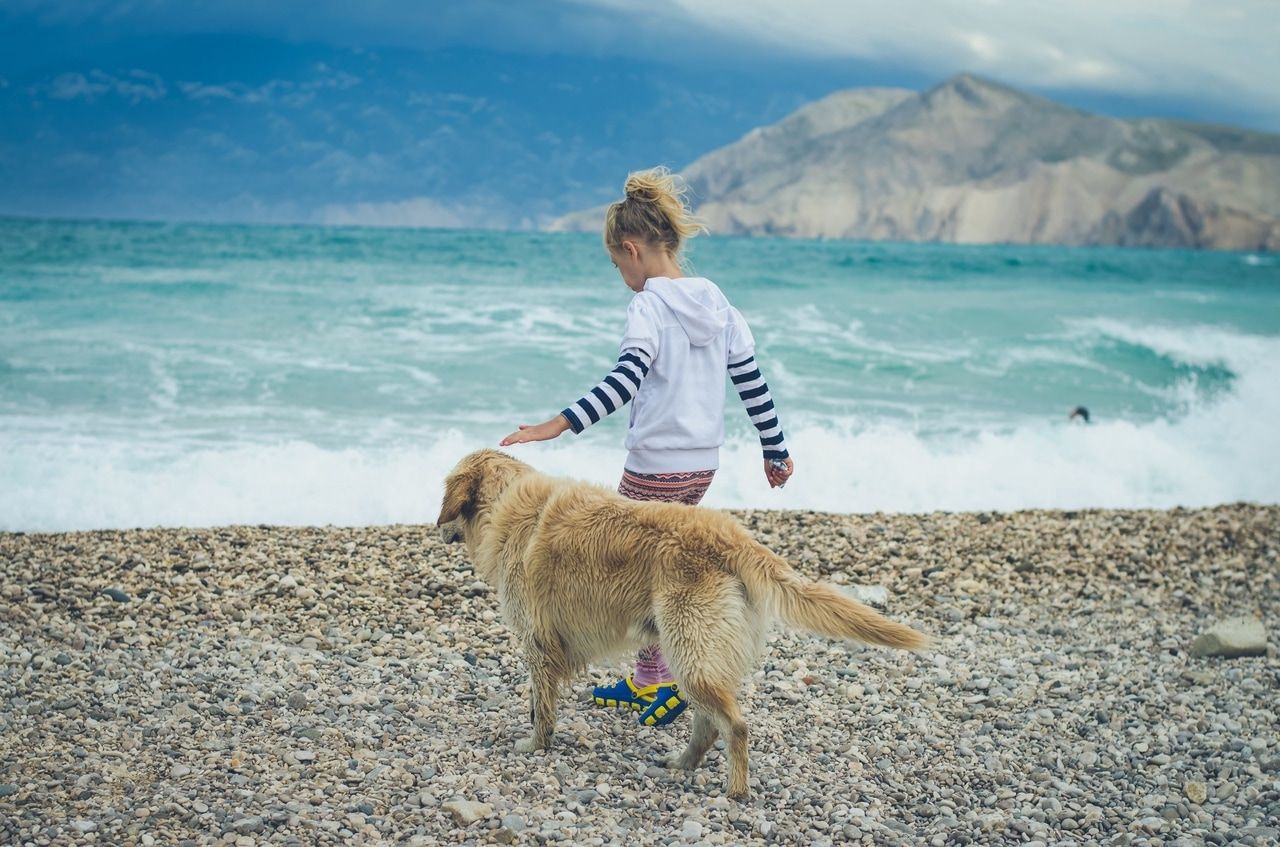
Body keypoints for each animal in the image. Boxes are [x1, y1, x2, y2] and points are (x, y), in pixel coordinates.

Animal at [435, 447, 926, 798]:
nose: (438, 529)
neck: (505, 501)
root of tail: (735, 538)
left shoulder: (537, 642)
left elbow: (541, 706)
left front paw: (535, 745)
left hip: (690, 651)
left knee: (734, 724)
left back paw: (735, 792)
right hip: (694, 654)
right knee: (709, 723)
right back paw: (682, 764)